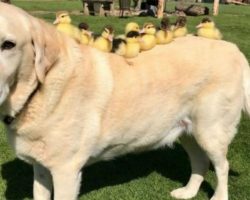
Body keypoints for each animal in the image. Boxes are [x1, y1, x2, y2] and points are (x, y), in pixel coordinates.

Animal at [0, 2, 250, 200]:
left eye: (8, 44)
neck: (39, 90)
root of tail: (234, 49)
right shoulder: (41, 168)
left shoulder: (66, 172)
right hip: (188, 130)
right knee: (200, 161)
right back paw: (188, 192)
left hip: (211, 131)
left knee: (222, 166)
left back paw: (219, 196)